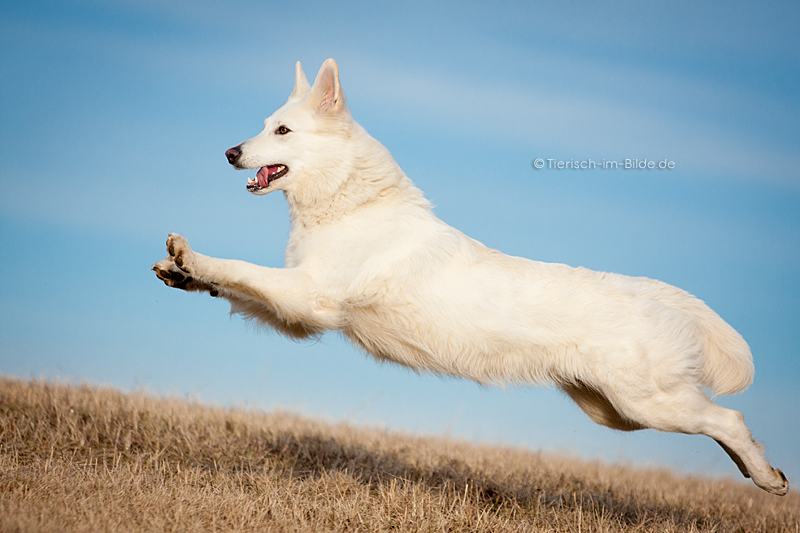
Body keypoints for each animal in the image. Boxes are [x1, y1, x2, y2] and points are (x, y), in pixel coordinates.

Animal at [155, 58, 788, 494]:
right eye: (264, 126)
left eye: (282, 132)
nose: (230, 152)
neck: (351, 204)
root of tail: (656, 295)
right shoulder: (297, 315)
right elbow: (235, 287)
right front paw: (180, 274)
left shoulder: (309, 299)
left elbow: (238, 269)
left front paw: (191, 257)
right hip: (615, 413)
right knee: (720, 426)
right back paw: (761, 471)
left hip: (649, 405)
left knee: (729, 419)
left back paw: (768, 477)